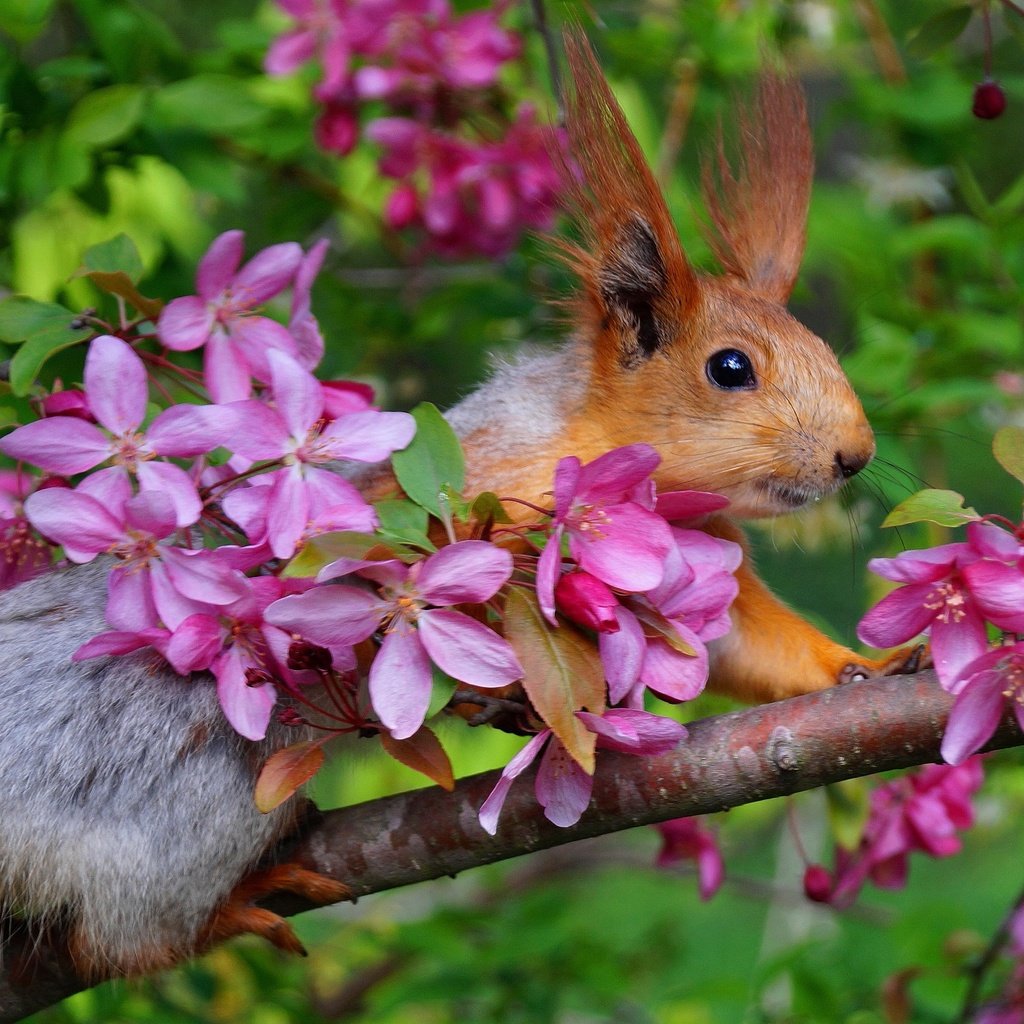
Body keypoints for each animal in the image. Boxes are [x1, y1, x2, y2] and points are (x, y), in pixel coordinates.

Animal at [0, 34, 917, 983]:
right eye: (730, 368)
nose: (856, 454)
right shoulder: (482, 499)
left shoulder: (698, 558)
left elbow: (756, 648)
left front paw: (867, 666)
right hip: (189, 770)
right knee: (122, 937)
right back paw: (237, 904)